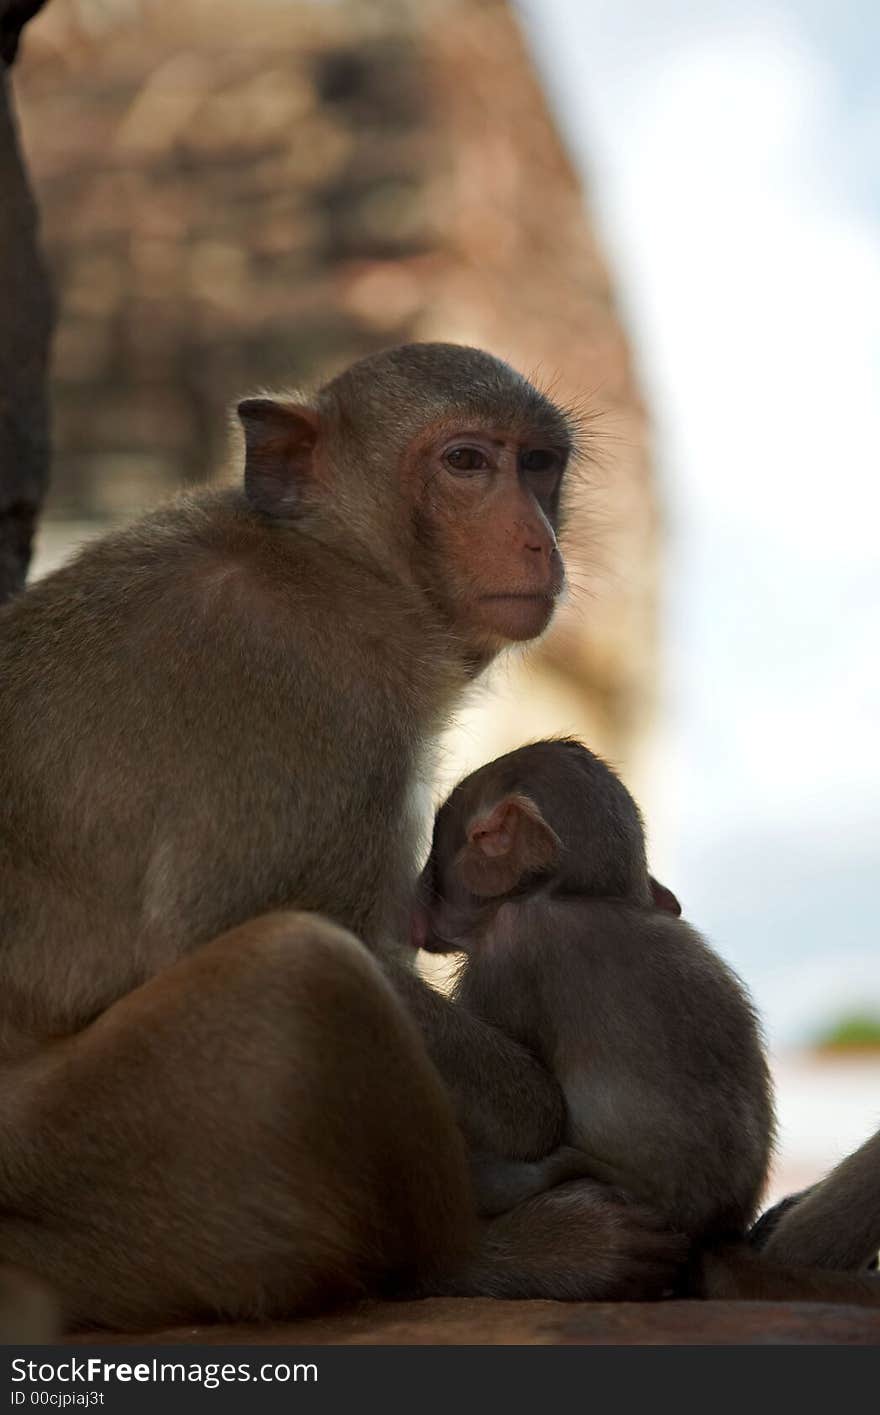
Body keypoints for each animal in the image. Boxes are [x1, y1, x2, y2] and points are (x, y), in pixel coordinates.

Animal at [0, 342, 681, 1324]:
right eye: (466, 462)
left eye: (538, 464)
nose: (538, 541)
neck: (334, 564)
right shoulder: (301, 699)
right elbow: (226, 928)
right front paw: (532, 1107)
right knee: (299, 970)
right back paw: (489, 1259)